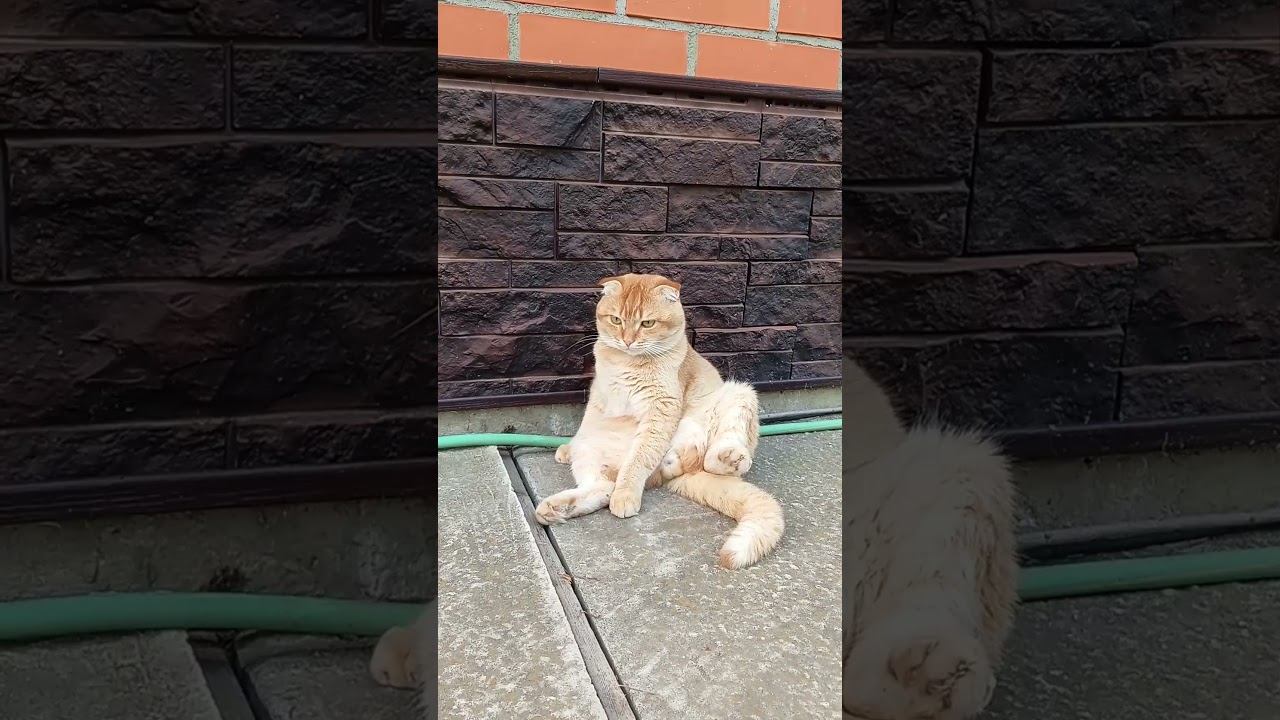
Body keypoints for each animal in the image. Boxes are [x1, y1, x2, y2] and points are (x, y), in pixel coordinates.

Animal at [534, 272, 785, 571]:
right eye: (616, 320)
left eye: (647, 323)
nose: (627, 340)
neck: (628, 362)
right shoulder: (598, 402)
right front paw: (566, 450)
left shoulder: (660, 411)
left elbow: (638, 459)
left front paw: (627, 493)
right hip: (591, 448)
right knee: (603, 487)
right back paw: (556, 508)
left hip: (738, 394)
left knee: (714, 454)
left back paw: (724, 458)